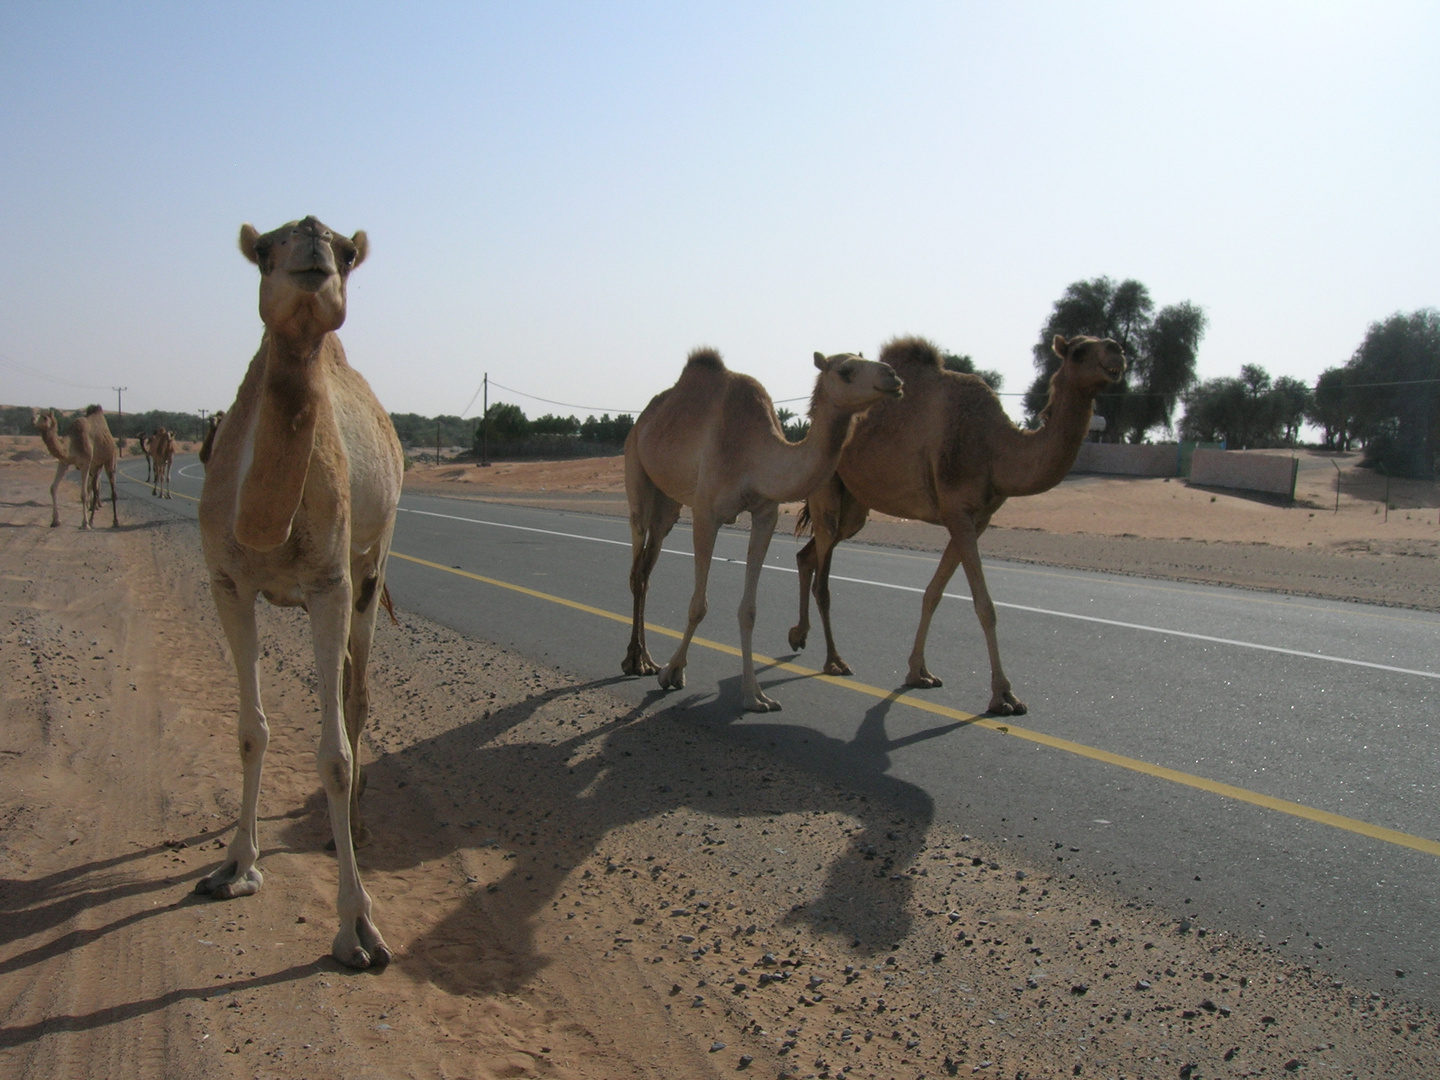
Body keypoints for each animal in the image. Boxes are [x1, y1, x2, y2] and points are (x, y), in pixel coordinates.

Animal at [194, 216, 403, 967]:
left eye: (345, 251)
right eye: (265, 249)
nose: (313, 246)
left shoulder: (329, 583)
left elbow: (334, 756)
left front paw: (358, 928)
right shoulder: (227, 582)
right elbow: (249, 730)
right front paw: (235, 864)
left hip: (373, 562)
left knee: (357, 693)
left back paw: (355, 828)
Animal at [622, 351, 898, 714]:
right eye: (846, 369)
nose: (892, 376)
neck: (755, 455)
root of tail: (641, 422)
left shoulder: (765, 514)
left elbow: (749, 610)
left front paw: (755, 696)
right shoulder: (706, 513)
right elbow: (698, 605)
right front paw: (673, 672)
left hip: (668, 504)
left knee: (647, 567)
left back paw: (646, 659)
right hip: (636, 471)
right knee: (636, 563)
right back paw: (635, 661)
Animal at [789, 334, 1123, 714]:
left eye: (1105, 342)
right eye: (1079, 351)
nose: (1117, 350)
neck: (996, 446)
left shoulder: (975, 519)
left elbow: (934, 593)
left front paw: (918, 672)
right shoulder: (957, 511)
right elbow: (985, 606)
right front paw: (1003, 695)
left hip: (855, 506)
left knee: (808, 554)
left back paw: (798, 636)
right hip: (826, 490)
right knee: (822, 575)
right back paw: (833, 660)